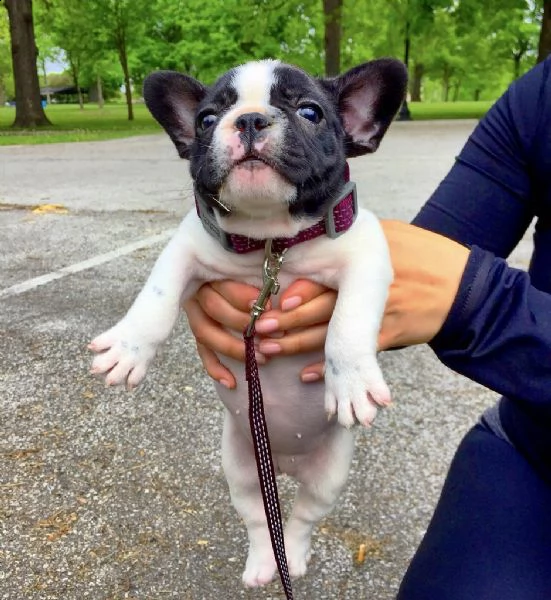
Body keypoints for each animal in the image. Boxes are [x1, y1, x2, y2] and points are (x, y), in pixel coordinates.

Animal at [90, 59, 408, 584]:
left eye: (310, 111)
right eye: (205, 119)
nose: (250, 120)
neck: (270, 243)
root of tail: (283, 464)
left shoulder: (366, 255)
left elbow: (350, 320)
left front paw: (352, 382)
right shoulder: (187, 247)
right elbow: (156, 293)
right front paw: (127, 347)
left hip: (330, 474)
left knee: (301, 518)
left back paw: (291, 558)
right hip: (239, 467)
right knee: (260, 520)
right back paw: (263, 564)